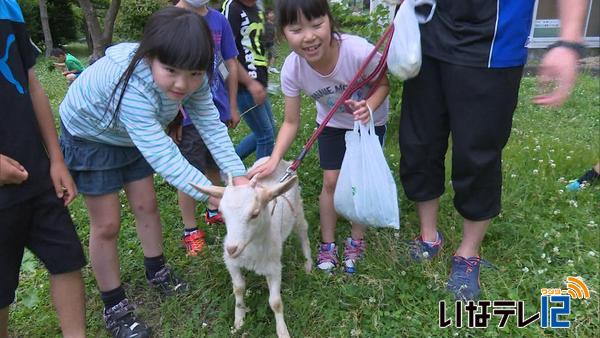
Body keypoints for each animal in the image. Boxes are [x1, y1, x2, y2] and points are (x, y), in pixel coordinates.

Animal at [191, 158, 314, 338]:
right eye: (222, 213)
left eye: (255, 214)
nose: (231, 249)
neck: (250, 249)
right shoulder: (231, 263)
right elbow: (238, 288)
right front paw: (239, 320)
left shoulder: (274, 268)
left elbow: (275, 302)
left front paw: (282, 331)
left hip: (297, 210)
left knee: (303, 231)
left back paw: (308, 263)